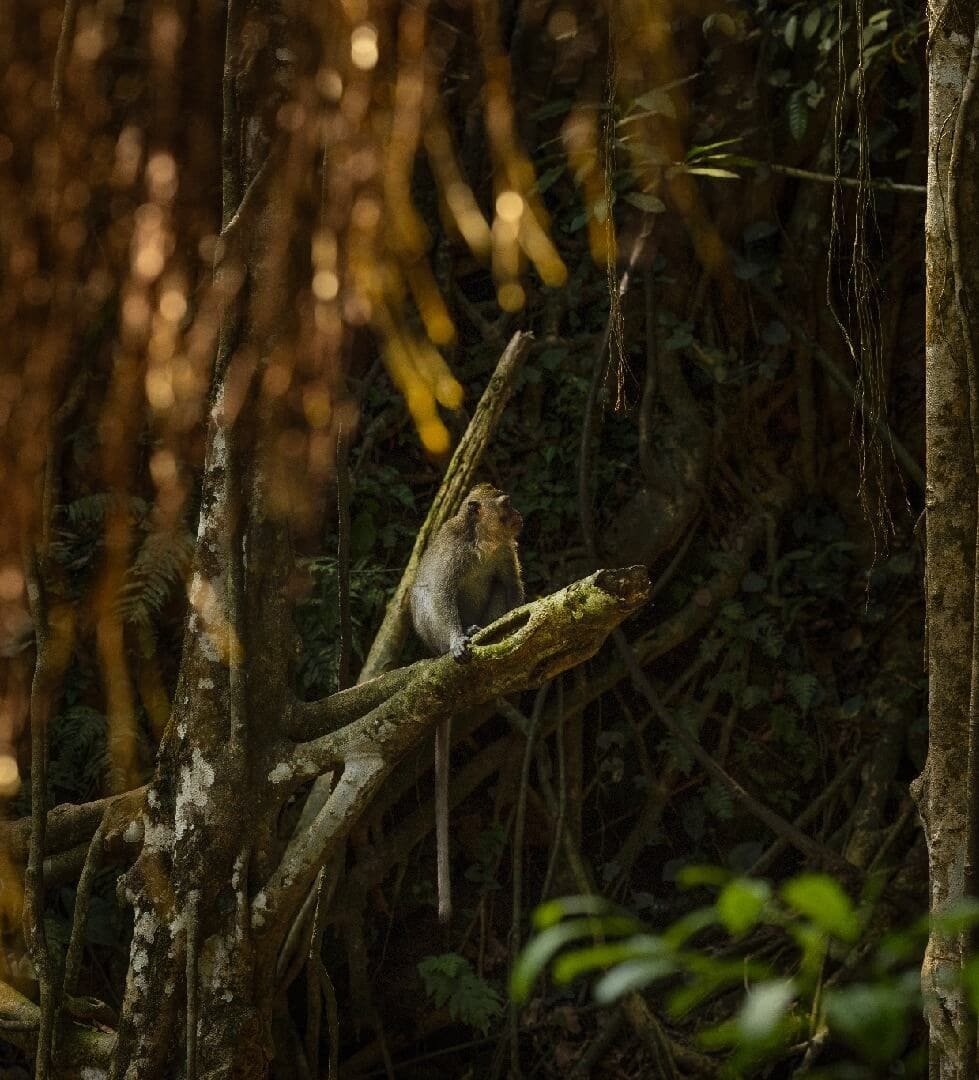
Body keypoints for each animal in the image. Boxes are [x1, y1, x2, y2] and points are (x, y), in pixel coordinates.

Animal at [410, 483, 525, 923]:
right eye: (507, 505)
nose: (520, 516)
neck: (484, 543)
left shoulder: (506, 553)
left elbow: (510, 587)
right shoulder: (454, 551)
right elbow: (437, 593)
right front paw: (459, 640)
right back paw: (463, 638)